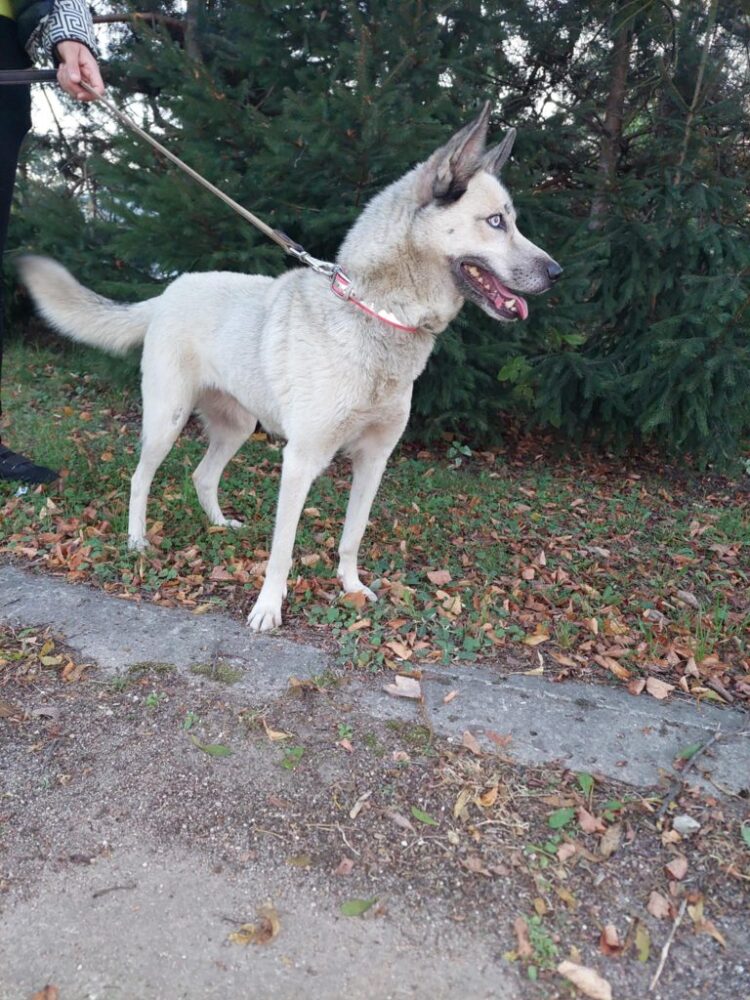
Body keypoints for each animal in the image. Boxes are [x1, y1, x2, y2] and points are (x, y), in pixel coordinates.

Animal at [19, 102, 561, 632]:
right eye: (496, 221)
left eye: (512, 221)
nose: (556, 272)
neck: (377, 312)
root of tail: (169, 290)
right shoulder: (300, 461)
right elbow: (282, 550)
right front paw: (268, 608)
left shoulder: (374, 460)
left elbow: (351, 536)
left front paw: (351, 588)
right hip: (166, 422)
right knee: (140, 478)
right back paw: (136, 542)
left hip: (238, 426)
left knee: (203, 475)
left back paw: (219, 525)